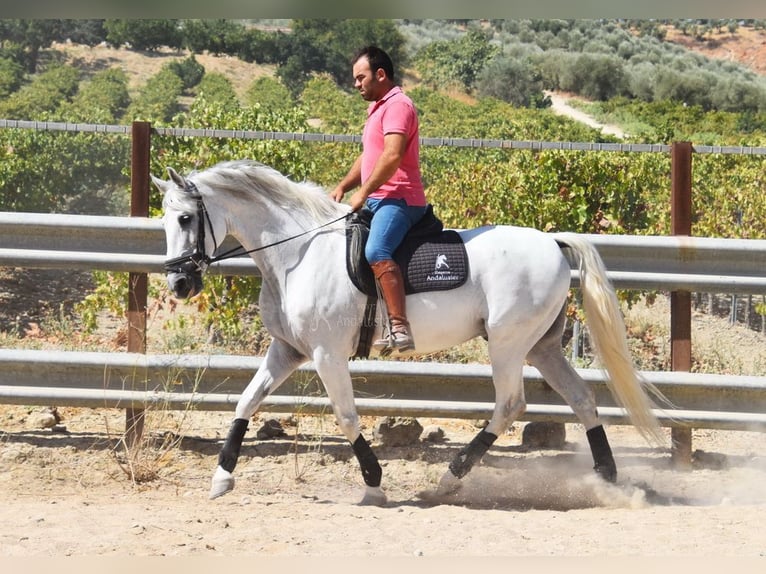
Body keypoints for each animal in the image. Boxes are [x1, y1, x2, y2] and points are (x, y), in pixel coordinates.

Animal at [152, 159, 666, 506]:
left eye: (185, 219)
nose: (179, 284)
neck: (298, 253)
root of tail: (553, 242)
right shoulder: (287, 351)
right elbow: (246, 402)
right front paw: (222, 478)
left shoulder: (325, 355)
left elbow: (346, 416)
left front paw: (375, 484)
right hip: (542, 347)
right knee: (582, 399)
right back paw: (606, 479)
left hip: (508, 344)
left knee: (510, 405)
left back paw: (451, 478)